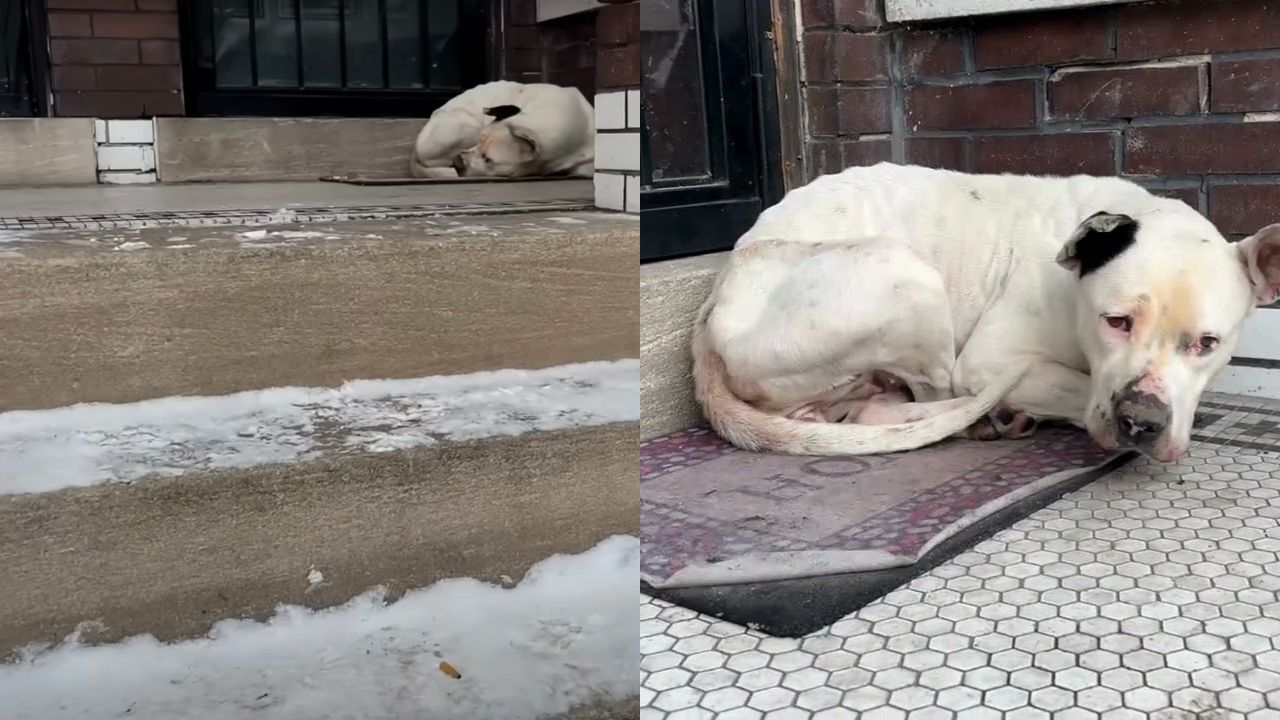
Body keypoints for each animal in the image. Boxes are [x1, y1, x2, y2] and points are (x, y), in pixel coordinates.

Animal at [696, 162, 1280, 458]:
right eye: (1115, 321)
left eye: (1207, 344)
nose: (1142, 422)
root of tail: (714, 306)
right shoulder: (991, 361)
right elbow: (1073, 386)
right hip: (905, 276)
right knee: (938, 400)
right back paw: (983, 419)